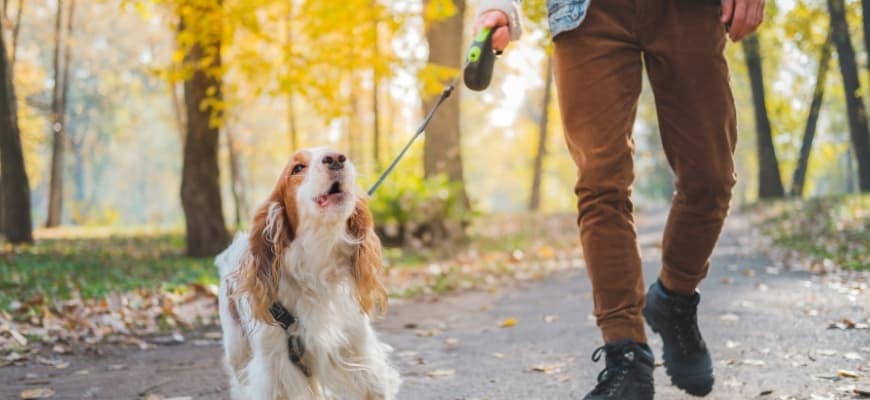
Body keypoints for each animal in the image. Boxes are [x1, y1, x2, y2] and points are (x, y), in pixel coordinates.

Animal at [216, 148, 400, 400]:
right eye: (297, 168)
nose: (336, 158)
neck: (317, 265)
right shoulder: (273, 369)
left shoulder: (361, 353)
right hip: (237, 350)